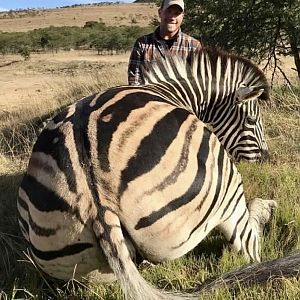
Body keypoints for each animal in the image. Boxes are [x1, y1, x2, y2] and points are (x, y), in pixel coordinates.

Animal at [17, 48, 276, 298]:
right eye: (251, 119)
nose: (266, 159)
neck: (176, 93)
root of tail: (95, 197)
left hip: (78, 260)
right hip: (226, 192)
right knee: (249, 245)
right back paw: (267, 208)